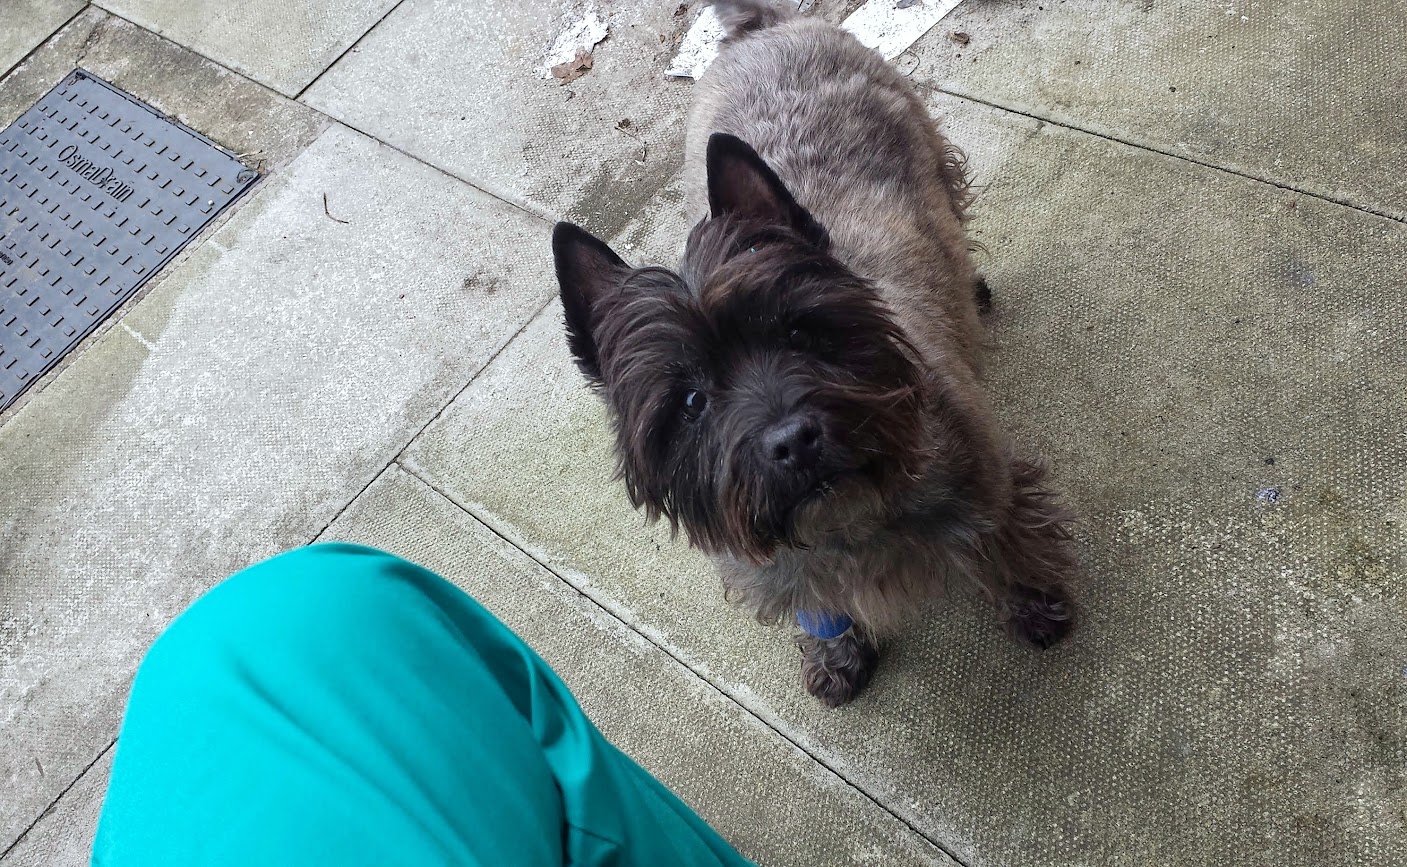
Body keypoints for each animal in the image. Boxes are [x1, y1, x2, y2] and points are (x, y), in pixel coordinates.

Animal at [551, 0, 1074, 703]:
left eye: (798, 334)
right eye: (690, 401)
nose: (793, 441)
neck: (845, 522)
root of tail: (761, 29)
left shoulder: (987, 488)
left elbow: (1006, 545)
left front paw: (1035, 603)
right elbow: (819, 605)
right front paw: (837, 654)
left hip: (933, 162)